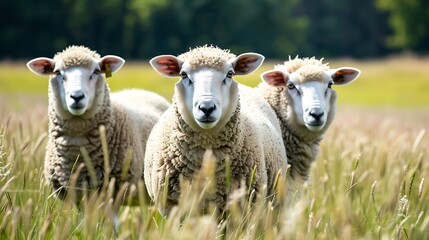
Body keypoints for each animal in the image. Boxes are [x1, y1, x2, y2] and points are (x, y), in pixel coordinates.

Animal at [25, 45, 171, 202]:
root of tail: (140, 91)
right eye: (57, 72)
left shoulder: (115, 190)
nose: (77, 96)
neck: (78, 146)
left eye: (95, 71)